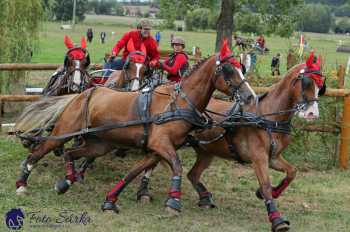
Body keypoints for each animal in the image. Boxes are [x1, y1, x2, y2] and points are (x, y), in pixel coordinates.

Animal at [15, 40, 258, 215]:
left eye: (242, 68)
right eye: (229, 70)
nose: (250, 96)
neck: (179, 103)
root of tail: (80, 94)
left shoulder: (155, 150)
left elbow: (135, 172)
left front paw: (111, 201)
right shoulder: (162, 145)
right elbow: (177, 166)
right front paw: (173, 201)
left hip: (99, 144)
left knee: (71, 153)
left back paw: (66, 181)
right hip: (63, 132)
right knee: (40, 151)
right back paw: (22, 182)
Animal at [135, 51, 326, 231]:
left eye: (321, 86)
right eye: (307, 82)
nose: (312, 114)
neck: (269, 117)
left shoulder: (273, 158)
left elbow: (292, 172)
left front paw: (271, 192)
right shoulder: (258, 158)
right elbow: (265, 184)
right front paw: (276, 219)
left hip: (206, 152)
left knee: (192, 174)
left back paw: (205, 198)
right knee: (154, 163)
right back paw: (144, 192)